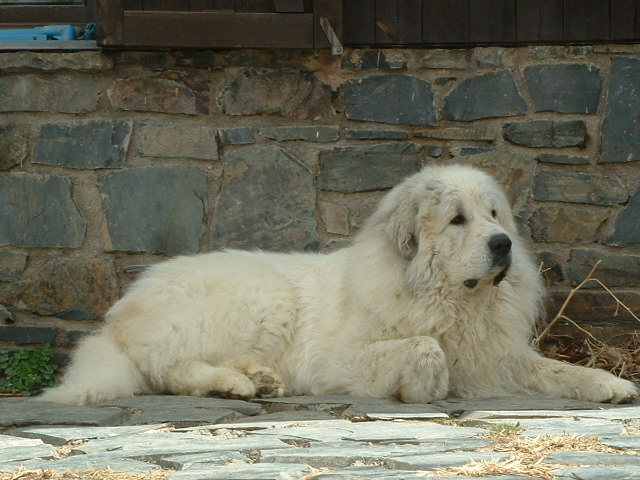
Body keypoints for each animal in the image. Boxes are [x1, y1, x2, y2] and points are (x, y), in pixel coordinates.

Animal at [42, 164, 636, 404]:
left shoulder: (496, 356)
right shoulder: (333, 364)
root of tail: (123, 311)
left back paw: (258, 380)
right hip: (264, 297)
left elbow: (555, 369)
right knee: (169, 369)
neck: (448, 299)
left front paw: (608, 384)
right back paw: (232, 385)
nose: (503, 245)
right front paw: (425, 387)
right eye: (457, 220)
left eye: (494, 215)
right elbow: (426, 348)